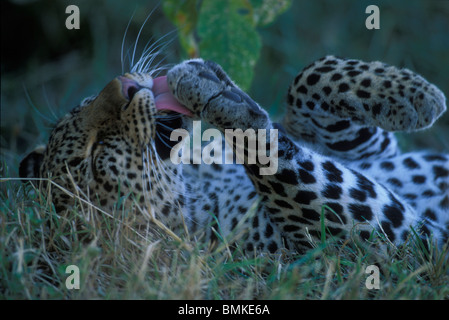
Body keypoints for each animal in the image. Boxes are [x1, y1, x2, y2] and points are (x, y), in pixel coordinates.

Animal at [20, 55, 448, 255]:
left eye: (84, 104)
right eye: (95, 156)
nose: (123, 85)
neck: (199, 178)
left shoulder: (370, 149)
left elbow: (306, 81)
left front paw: (414, 96)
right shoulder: (377, 235)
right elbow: (273, 161)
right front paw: (217, 97)